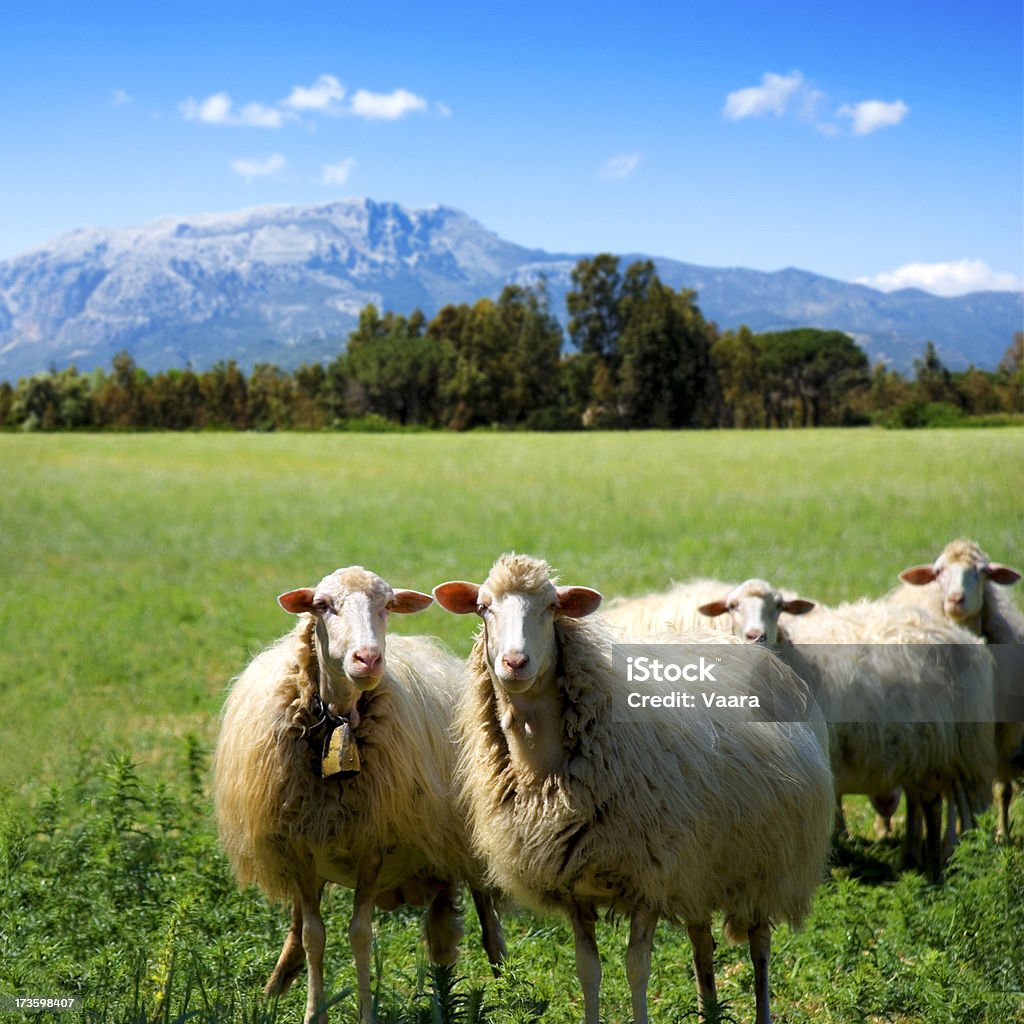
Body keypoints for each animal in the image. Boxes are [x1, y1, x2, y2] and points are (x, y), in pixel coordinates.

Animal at [212, 569, 507, 1024]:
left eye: (387, 606)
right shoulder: (300, 847)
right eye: (322, 605)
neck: (337, 721)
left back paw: (504, 984)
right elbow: (314, 934)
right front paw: (313, 1011)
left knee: (481, 916)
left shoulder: (373, 844)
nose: (368, 659)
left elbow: (360, 934)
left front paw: (367, 1011)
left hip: (462, 839)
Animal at [432, 557, 831, 1024]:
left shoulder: (648, 880)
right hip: (701, 865)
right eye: (483, 607)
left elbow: (637, 968)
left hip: (765, 863)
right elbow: (588, 970)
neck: (542, 767)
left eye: (552, 607)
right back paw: (708, 1010)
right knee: (702, 942)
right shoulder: (575, 890)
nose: (515, 663)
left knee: (759, 947)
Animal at [892, 540, 1019, 835]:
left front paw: (998, 834)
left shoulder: (995, 734)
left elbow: (1001, 789)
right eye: (939, 572)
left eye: (983, 572)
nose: (955, 600)